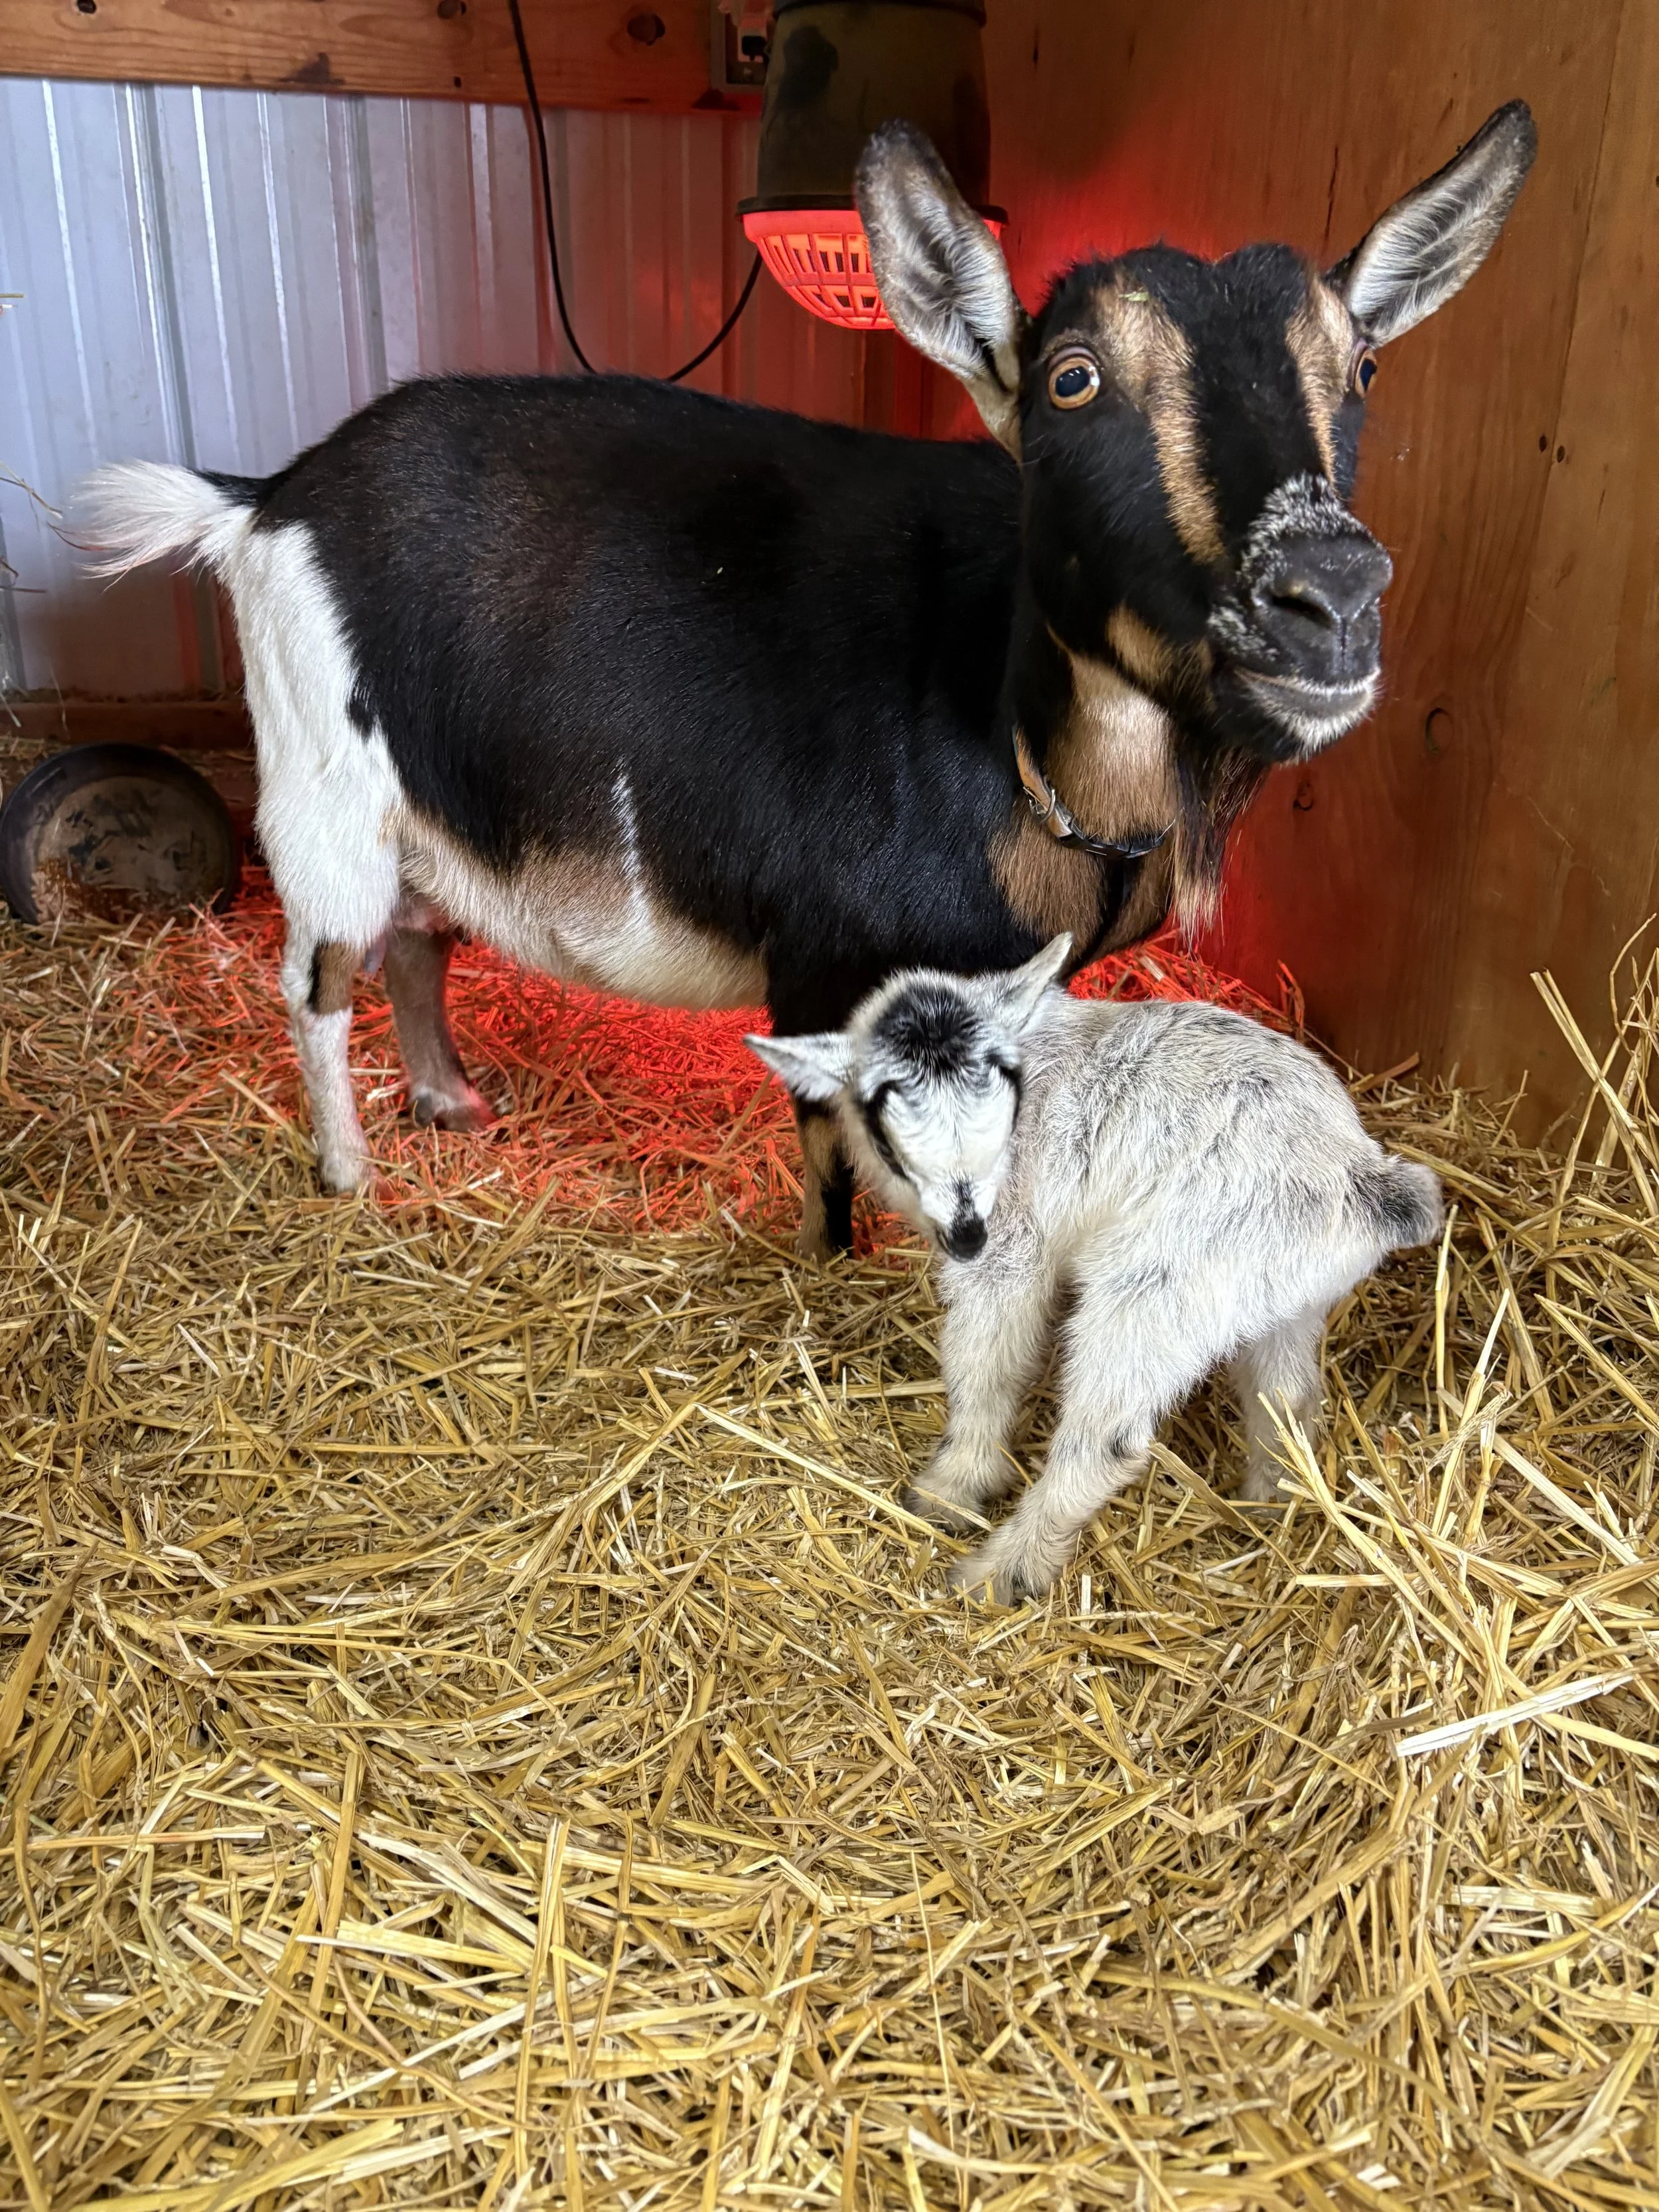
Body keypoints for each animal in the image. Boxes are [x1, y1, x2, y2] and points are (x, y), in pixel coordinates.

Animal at [77, 106, 1531, 1254]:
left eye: (1361, 365)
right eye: (1070, 379)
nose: (1329, 596)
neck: (1012, 734)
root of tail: (271, 495)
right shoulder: (825, 962)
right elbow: (835, 1150)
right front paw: (834, 1273)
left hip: (435, 797)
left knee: (422, 937)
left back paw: (448, 1099)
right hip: (322, 789)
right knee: (323, 977)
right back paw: (346, 1170)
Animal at [749, 937, 1443, 1603]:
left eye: (1000, 1109)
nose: (966, 1229)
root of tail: (1365, 1178)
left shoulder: (1013, 1247)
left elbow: (987, 1363)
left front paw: (952, 1486)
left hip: (1156, 1288)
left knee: (1107, 1437)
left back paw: (1001, 1573)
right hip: (1276, 1293)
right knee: (1286, 1399)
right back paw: (1267, 1509)